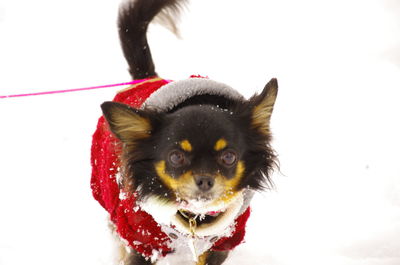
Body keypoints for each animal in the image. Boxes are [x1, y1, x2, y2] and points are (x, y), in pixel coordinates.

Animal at [90, 1, 278, 262]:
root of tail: (148, 78)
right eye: (176, 157)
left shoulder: (224, 241)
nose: (205, 180)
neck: (195, 218)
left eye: (229, 157)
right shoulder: (141, 240)